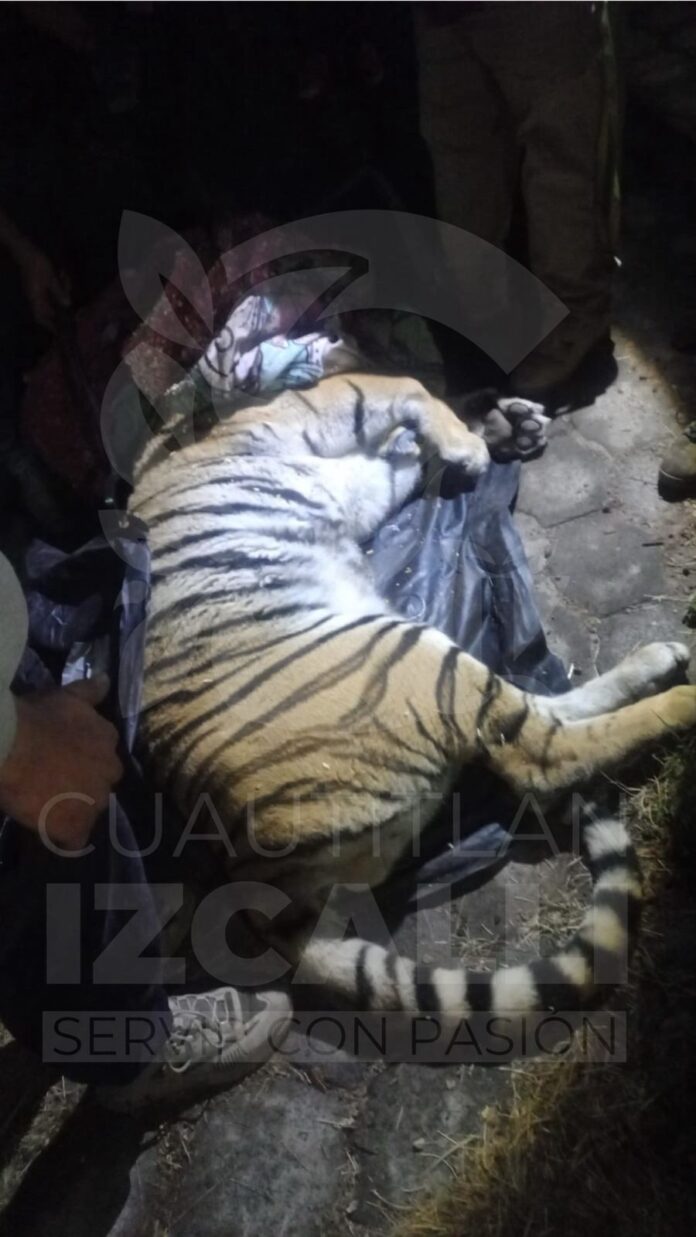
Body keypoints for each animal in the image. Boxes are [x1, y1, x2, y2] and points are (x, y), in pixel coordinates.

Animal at [128, 371, 696, 1020]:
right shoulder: (318, 413)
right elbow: (403, 384)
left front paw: (500, 429)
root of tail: (256, 880)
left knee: (540, 722)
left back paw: (660, 662)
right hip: (413, 659)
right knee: (542, 758)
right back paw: (682, 700)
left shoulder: (361, 474)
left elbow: (412, 446)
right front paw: (479, 439)